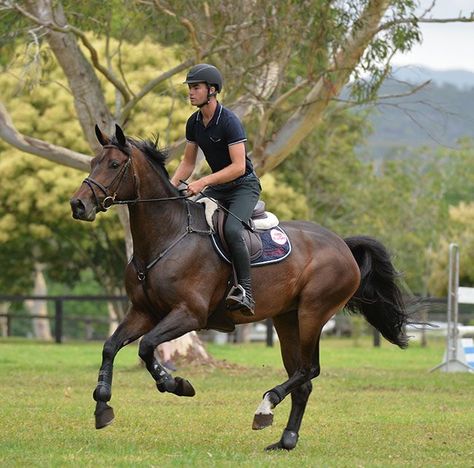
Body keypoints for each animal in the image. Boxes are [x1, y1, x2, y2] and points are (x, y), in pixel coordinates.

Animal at [69, 123, 408, 450]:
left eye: (114, 164)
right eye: (93, 161)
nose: (78, 204)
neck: (168, 236)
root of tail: (342, 245)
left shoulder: (189, 314)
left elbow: (147, 346)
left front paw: (176, 384)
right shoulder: (143, 312)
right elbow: (111, 346)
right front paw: (102, 405)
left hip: (313, 313)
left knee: (308, 370)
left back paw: (266, 406)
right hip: (287, 319)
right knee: (303, 380)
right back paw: (285, 440)